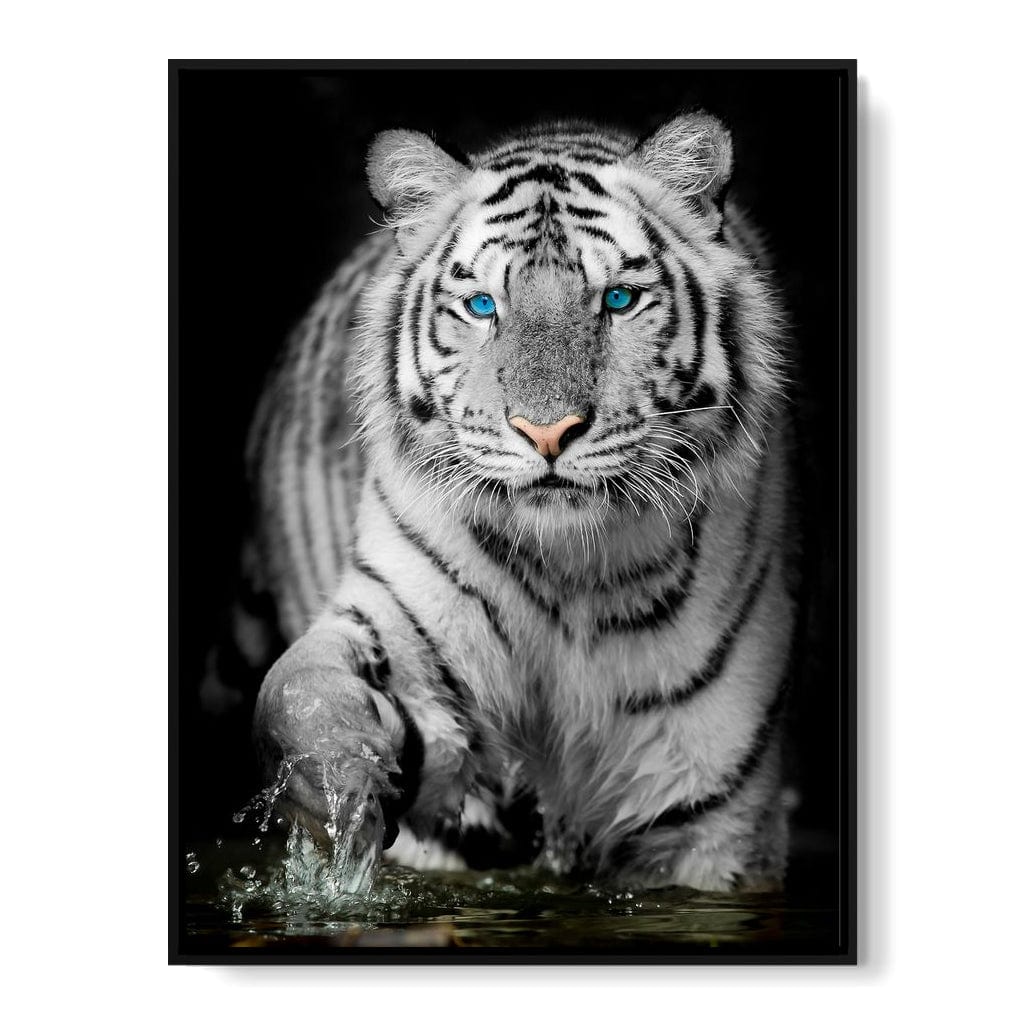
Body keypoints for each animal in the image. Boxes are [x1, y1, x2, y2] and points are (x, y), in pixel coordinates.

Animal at [246, 109, 798, 893]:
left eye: (618, 300)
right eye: (483, 307)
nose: (547, 431)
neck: (571, 573)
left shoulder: (713, 814)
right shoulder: (397, 617)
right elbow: (299, 691)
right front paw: (340, 784)